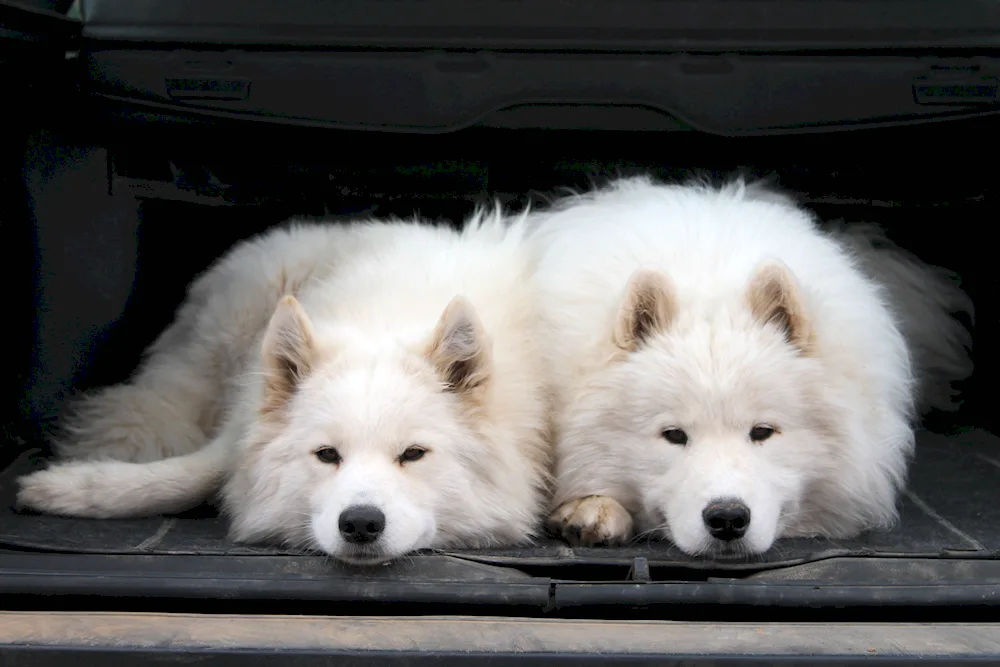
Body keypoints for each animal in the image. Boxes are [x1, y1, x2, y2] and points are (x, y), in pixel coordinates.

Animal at [15, 214, 552, 564]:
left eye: (413, 455)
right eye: (327, 455)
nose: (360, 523)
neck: (384, 322)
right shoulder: (242, 428)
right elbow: (181, 476)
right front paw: (70, 488)